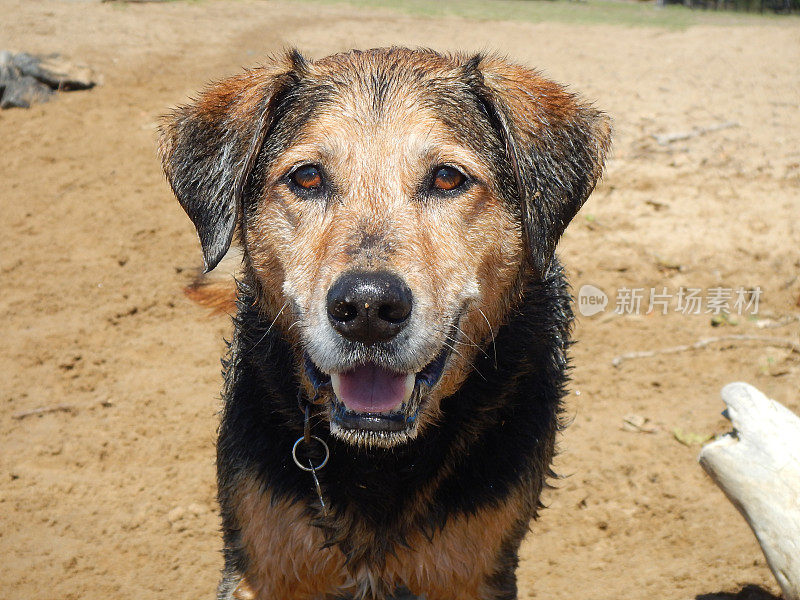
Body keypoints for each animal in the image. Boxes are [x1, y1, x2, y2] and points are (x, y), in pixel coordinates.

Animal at [159, 48, 608, 600]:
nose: (368, 309)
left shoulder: (474, 569)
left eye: (448, 178)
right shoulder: (261, 563)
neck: (379, 460)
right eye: (307, 177)